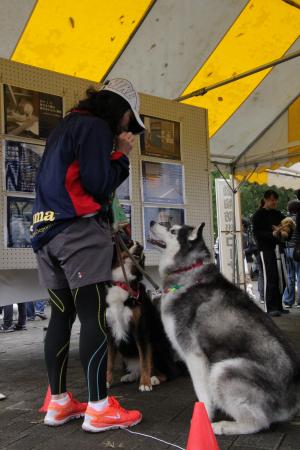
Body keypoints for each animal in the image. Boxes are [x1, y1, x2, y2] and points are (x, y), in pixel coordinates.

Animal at [150, 221, 300, 436]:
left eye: (172, 230)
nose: (152, 222)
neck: (188, 269)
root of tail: (293, 399)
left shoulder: (194, 355)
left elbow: (202, 392)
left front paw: (203, 418)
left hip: (223, 369)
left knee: (258, 422)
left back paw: (223, 426)